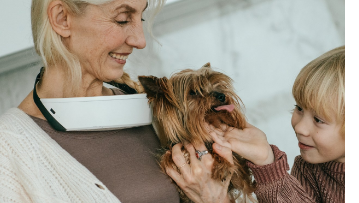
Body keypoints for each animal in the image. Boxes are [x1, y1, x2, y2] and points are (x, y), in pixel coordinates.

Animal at [138, 62, 256, 202]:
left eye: (216, 84)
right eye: (193, 92)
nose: (222, 95)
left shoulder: (240, 175)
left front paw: (222, 165)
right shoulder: (169, 152)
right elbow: (168, 157)